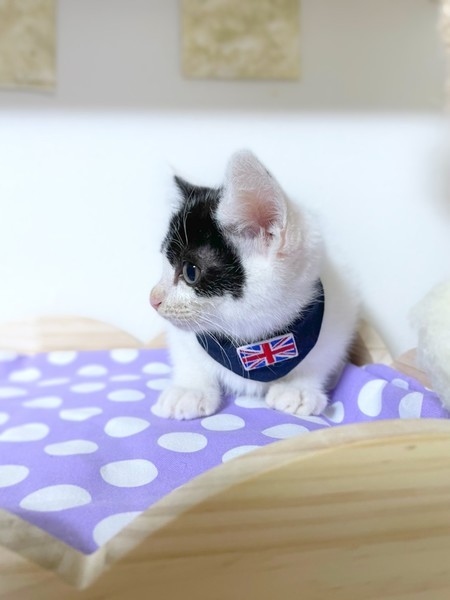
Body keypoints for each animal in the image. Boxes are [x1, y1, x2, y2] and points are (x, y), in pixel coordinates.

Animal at [150, 150, 359, 420]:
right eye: (165, 264)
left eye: (190, 272)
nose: (153, 299)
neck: (250, 338)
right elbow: (187, 354)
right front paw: (190, 389)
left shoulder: (339, 313)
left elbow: (323, 358)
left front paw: (299, 389)